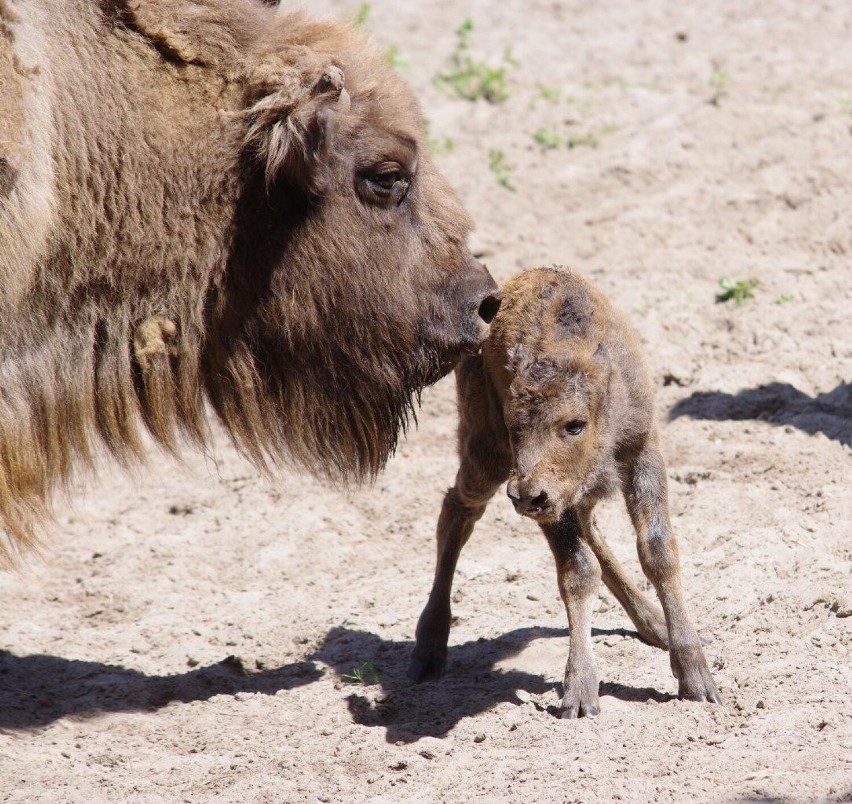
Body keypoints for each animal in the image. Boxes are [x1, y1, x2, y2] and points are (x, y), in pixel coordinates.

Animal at [412, 266, 720, 720]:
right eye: (516, 426)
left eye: (574, 424)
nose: (525, 497)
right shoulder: (547, 497)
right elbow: (578, 571)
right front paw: (579, 692)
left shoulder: (641, 452)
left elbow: (658, 552)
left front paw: (696, 676)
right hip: (487, 456)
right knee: (458, 509)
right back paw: (428, 649)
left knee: (590, 528)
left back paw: (654, 626)